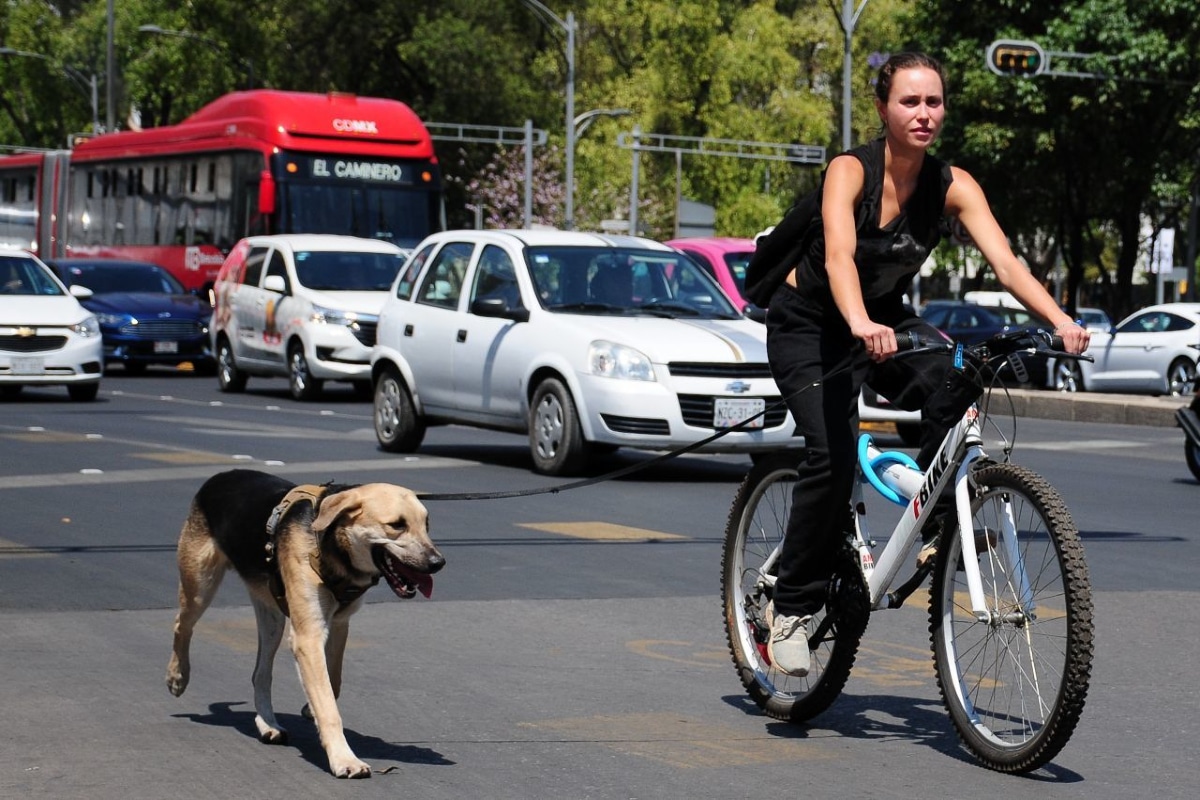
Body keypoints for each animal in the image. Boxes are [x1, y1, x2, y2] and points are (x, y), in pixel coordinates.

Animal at [168, 470, 446, 777]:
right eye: (397, 525)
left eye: (426, 525)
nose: (438, 562)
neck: (333, 545)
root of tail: (221, 475)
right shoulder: (308, 636)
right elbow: (329, 705)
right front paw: (344, 758)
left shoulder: (338, 624)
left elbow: (332, 683)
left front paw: (311, 709)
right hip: (200, 585)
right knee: (182, 625)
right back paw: (177, 676)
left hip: (272, 618)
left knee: (260, 673)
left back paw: (267, 724)